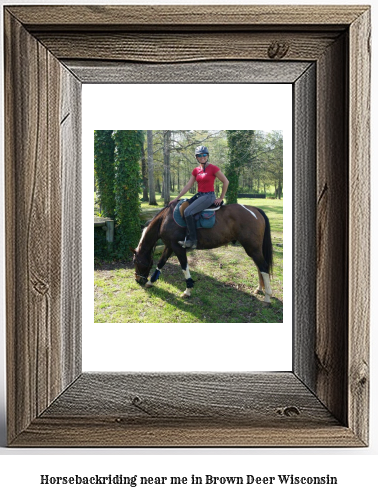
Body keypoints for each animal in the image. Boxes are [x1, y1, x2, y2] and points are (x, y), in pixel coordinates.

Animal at [131, 201, 274, 302]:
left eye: (135, 261)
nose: (138, 279)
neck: (165, 219)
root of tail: (254, 210)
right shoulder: (169, 246)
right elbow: (160, 263)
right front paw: (150, 282)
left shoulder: (178, 248)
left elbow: (184, 267)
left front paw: (187, 291)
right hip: (254, 249)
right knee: (259, 267)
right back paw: (259, 289)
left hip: (252, 248)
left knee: (263, 266)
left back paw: (267, 296)